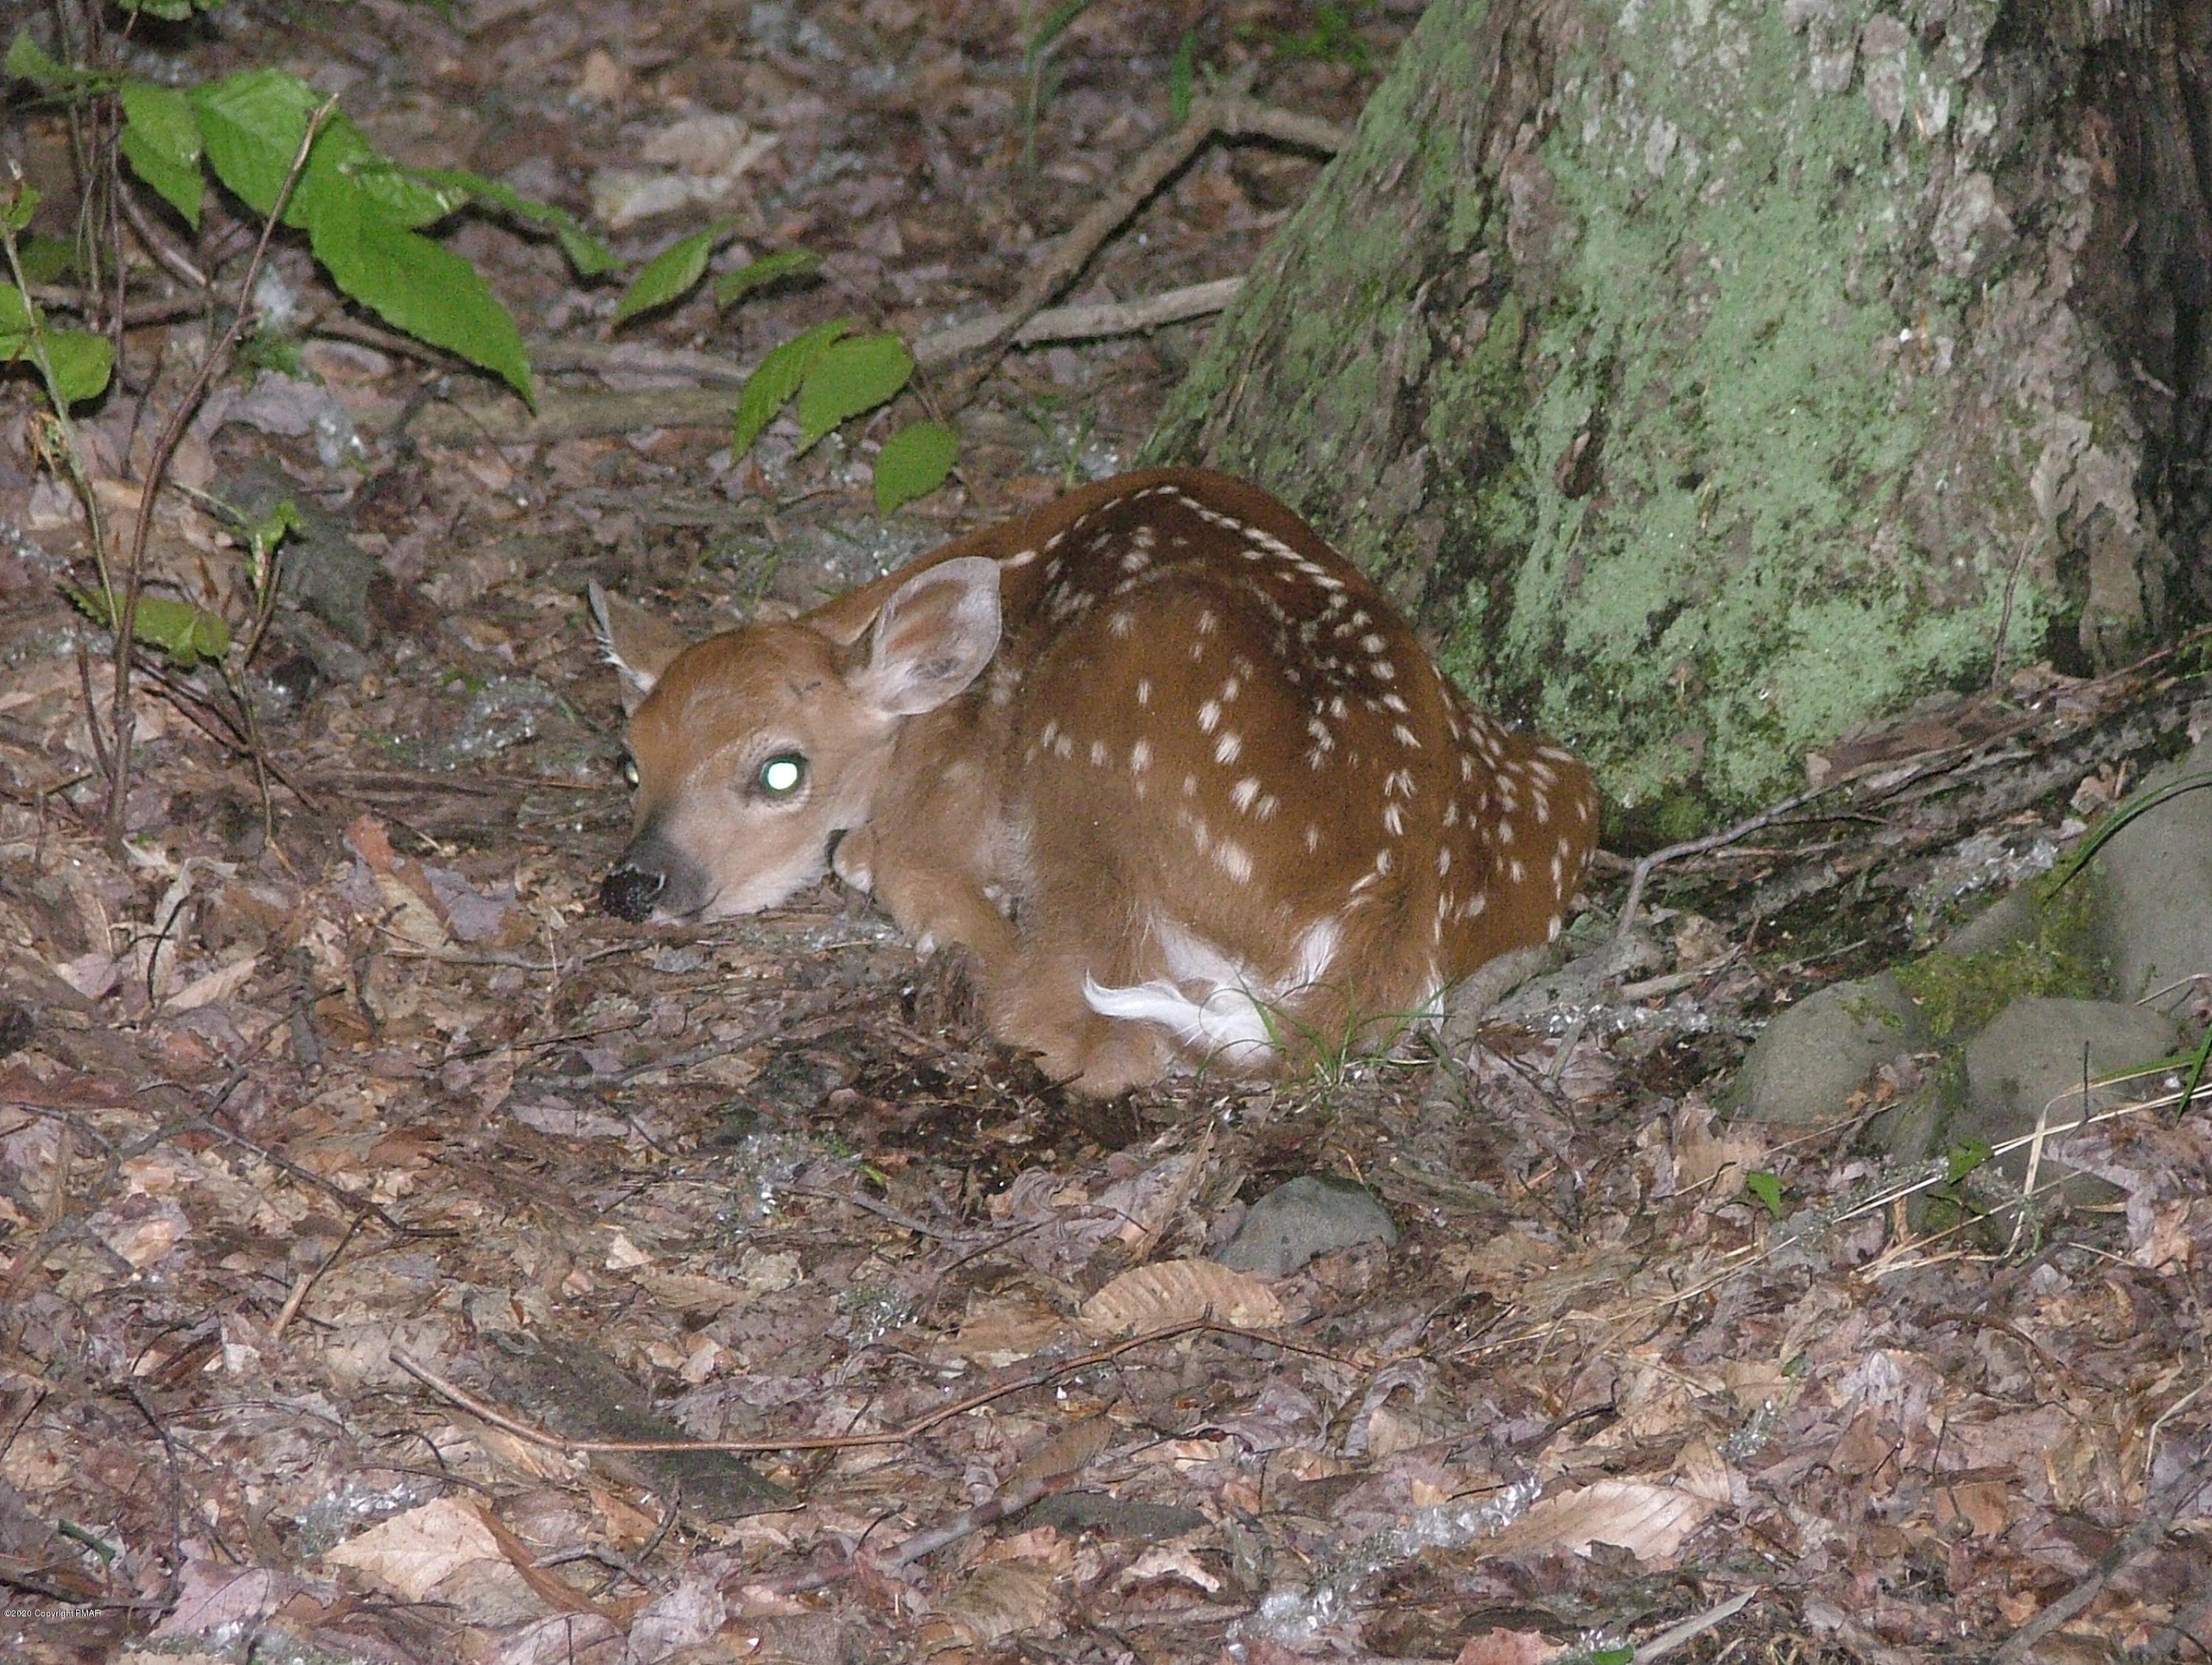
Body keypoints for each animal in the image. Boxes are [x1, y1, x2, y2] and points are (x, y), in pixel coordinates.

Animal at [591, 468, 1599, 1094]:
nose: (634, 883)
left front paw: (868, 855)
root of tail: (1395, 907)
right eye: (631, 757)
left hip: (1096, 723)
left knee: (1084, 1023)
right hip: (1564, 779)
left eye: (780, 768)